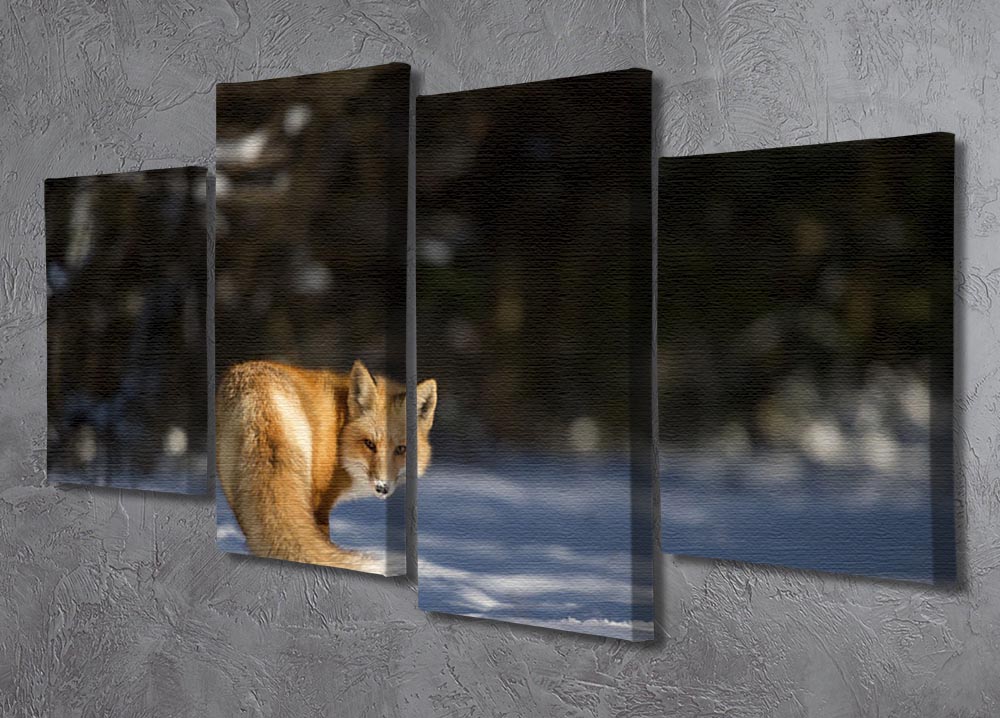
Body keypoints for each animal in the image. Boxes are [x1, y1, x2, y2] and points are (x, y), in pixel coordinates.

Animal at [216, 359, 437, 575]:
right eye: (369, 444)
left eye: (401, 449)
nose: (382, 487)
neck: (340, 429)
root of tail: (257, 395)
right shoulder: (321, 503)